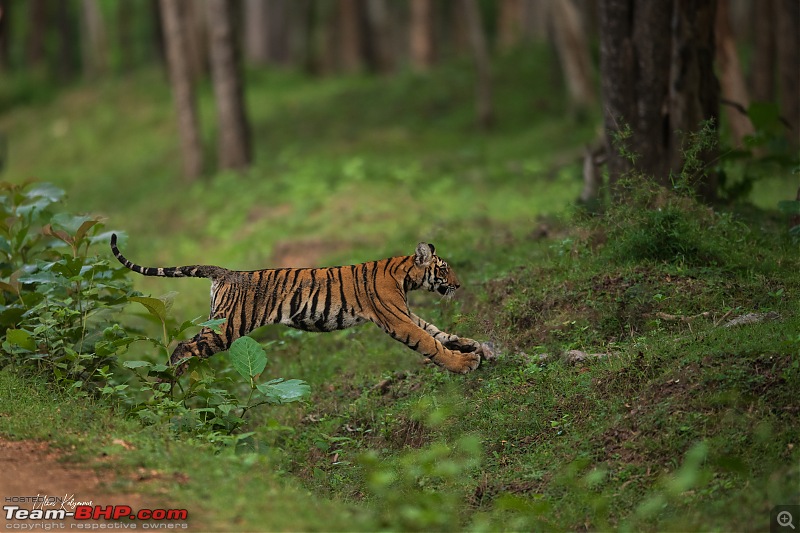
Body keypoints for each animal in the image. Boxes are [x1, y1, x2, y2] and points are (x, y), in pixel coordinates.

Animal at [109, 235, 490, 376]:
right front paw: (464, 363)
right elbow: (429, 342)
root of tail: (226, 271)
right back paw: (168, 381)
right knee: (183, 347)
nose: (458, 285)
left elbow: (439, 332)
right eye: (444, 268)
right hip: (226, 328)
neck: (404, 275)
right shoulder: (398, 319)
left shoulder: (407, 313)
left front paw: (479, 346)